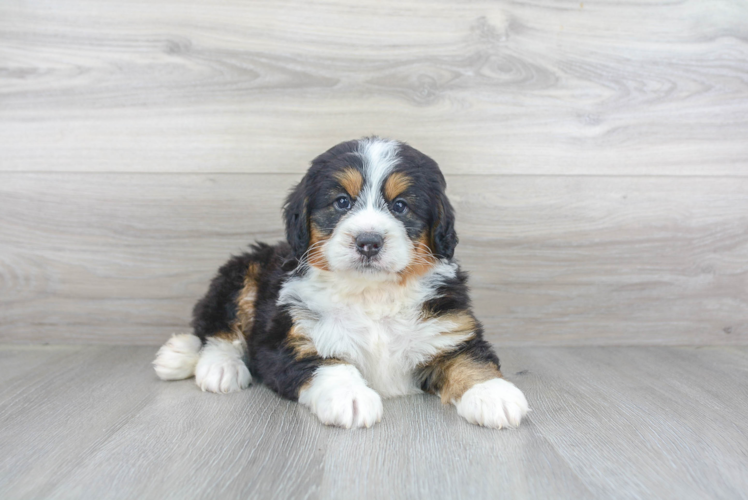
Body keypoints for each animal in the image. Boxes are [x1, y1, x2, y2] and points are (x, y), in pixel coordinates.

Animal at [152, 138, 528, 430]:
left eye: (400, 206)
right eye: (342, 202)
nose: (368, 241)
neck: (371, 294)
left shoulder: (449, 328)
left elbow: (470, 360)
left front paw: (492, 394)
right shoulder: (291, 338)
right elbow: (328, 363)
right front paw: (351, 396)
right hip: (244, 273)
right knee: (215, 324)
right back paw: (207, 363)